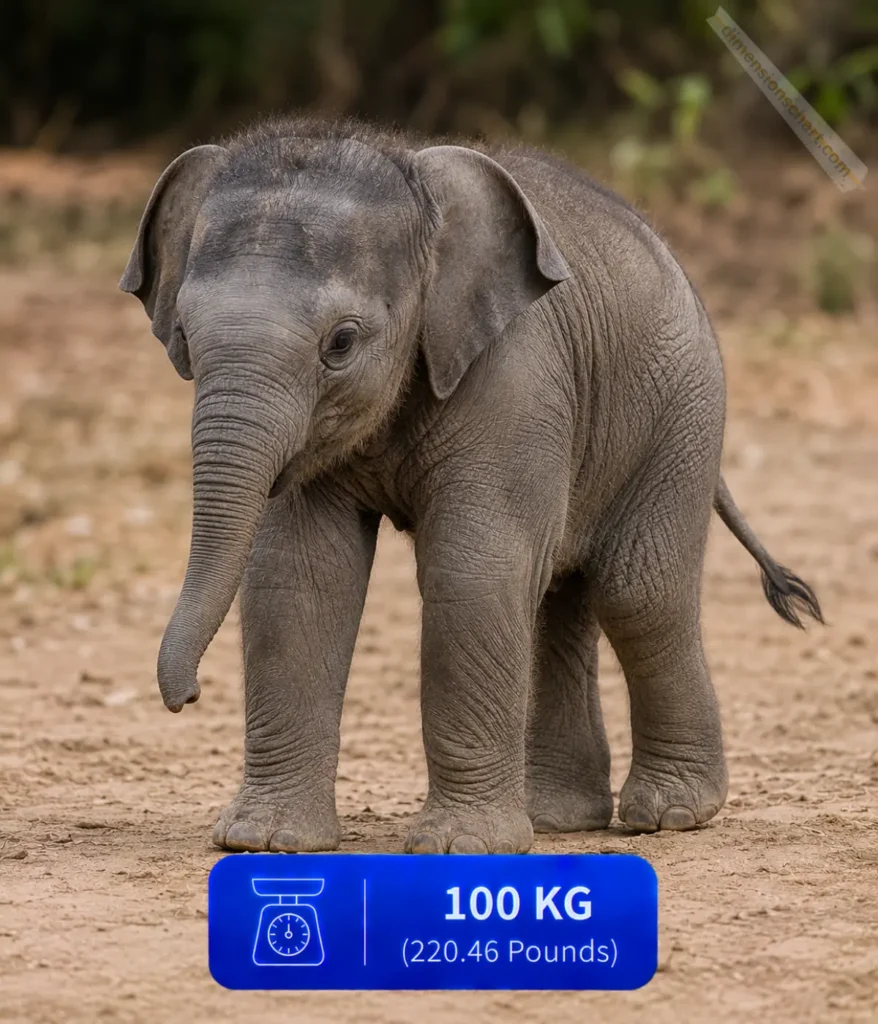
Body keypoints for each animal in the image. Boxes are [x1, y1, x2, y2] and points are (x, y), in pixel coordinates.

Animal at [120, 117, 823, 855]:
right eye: (183, 337)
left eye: (341, 343)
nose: (188, 697)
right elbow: (301, 574)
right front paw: (263, 841)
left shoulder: (517, 374)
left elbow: (472, 572)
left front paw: (460, 848)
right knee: (558, 595)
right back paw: (557, 818)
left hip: (681, 417)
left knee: (637, 593)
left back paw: (671, 814)